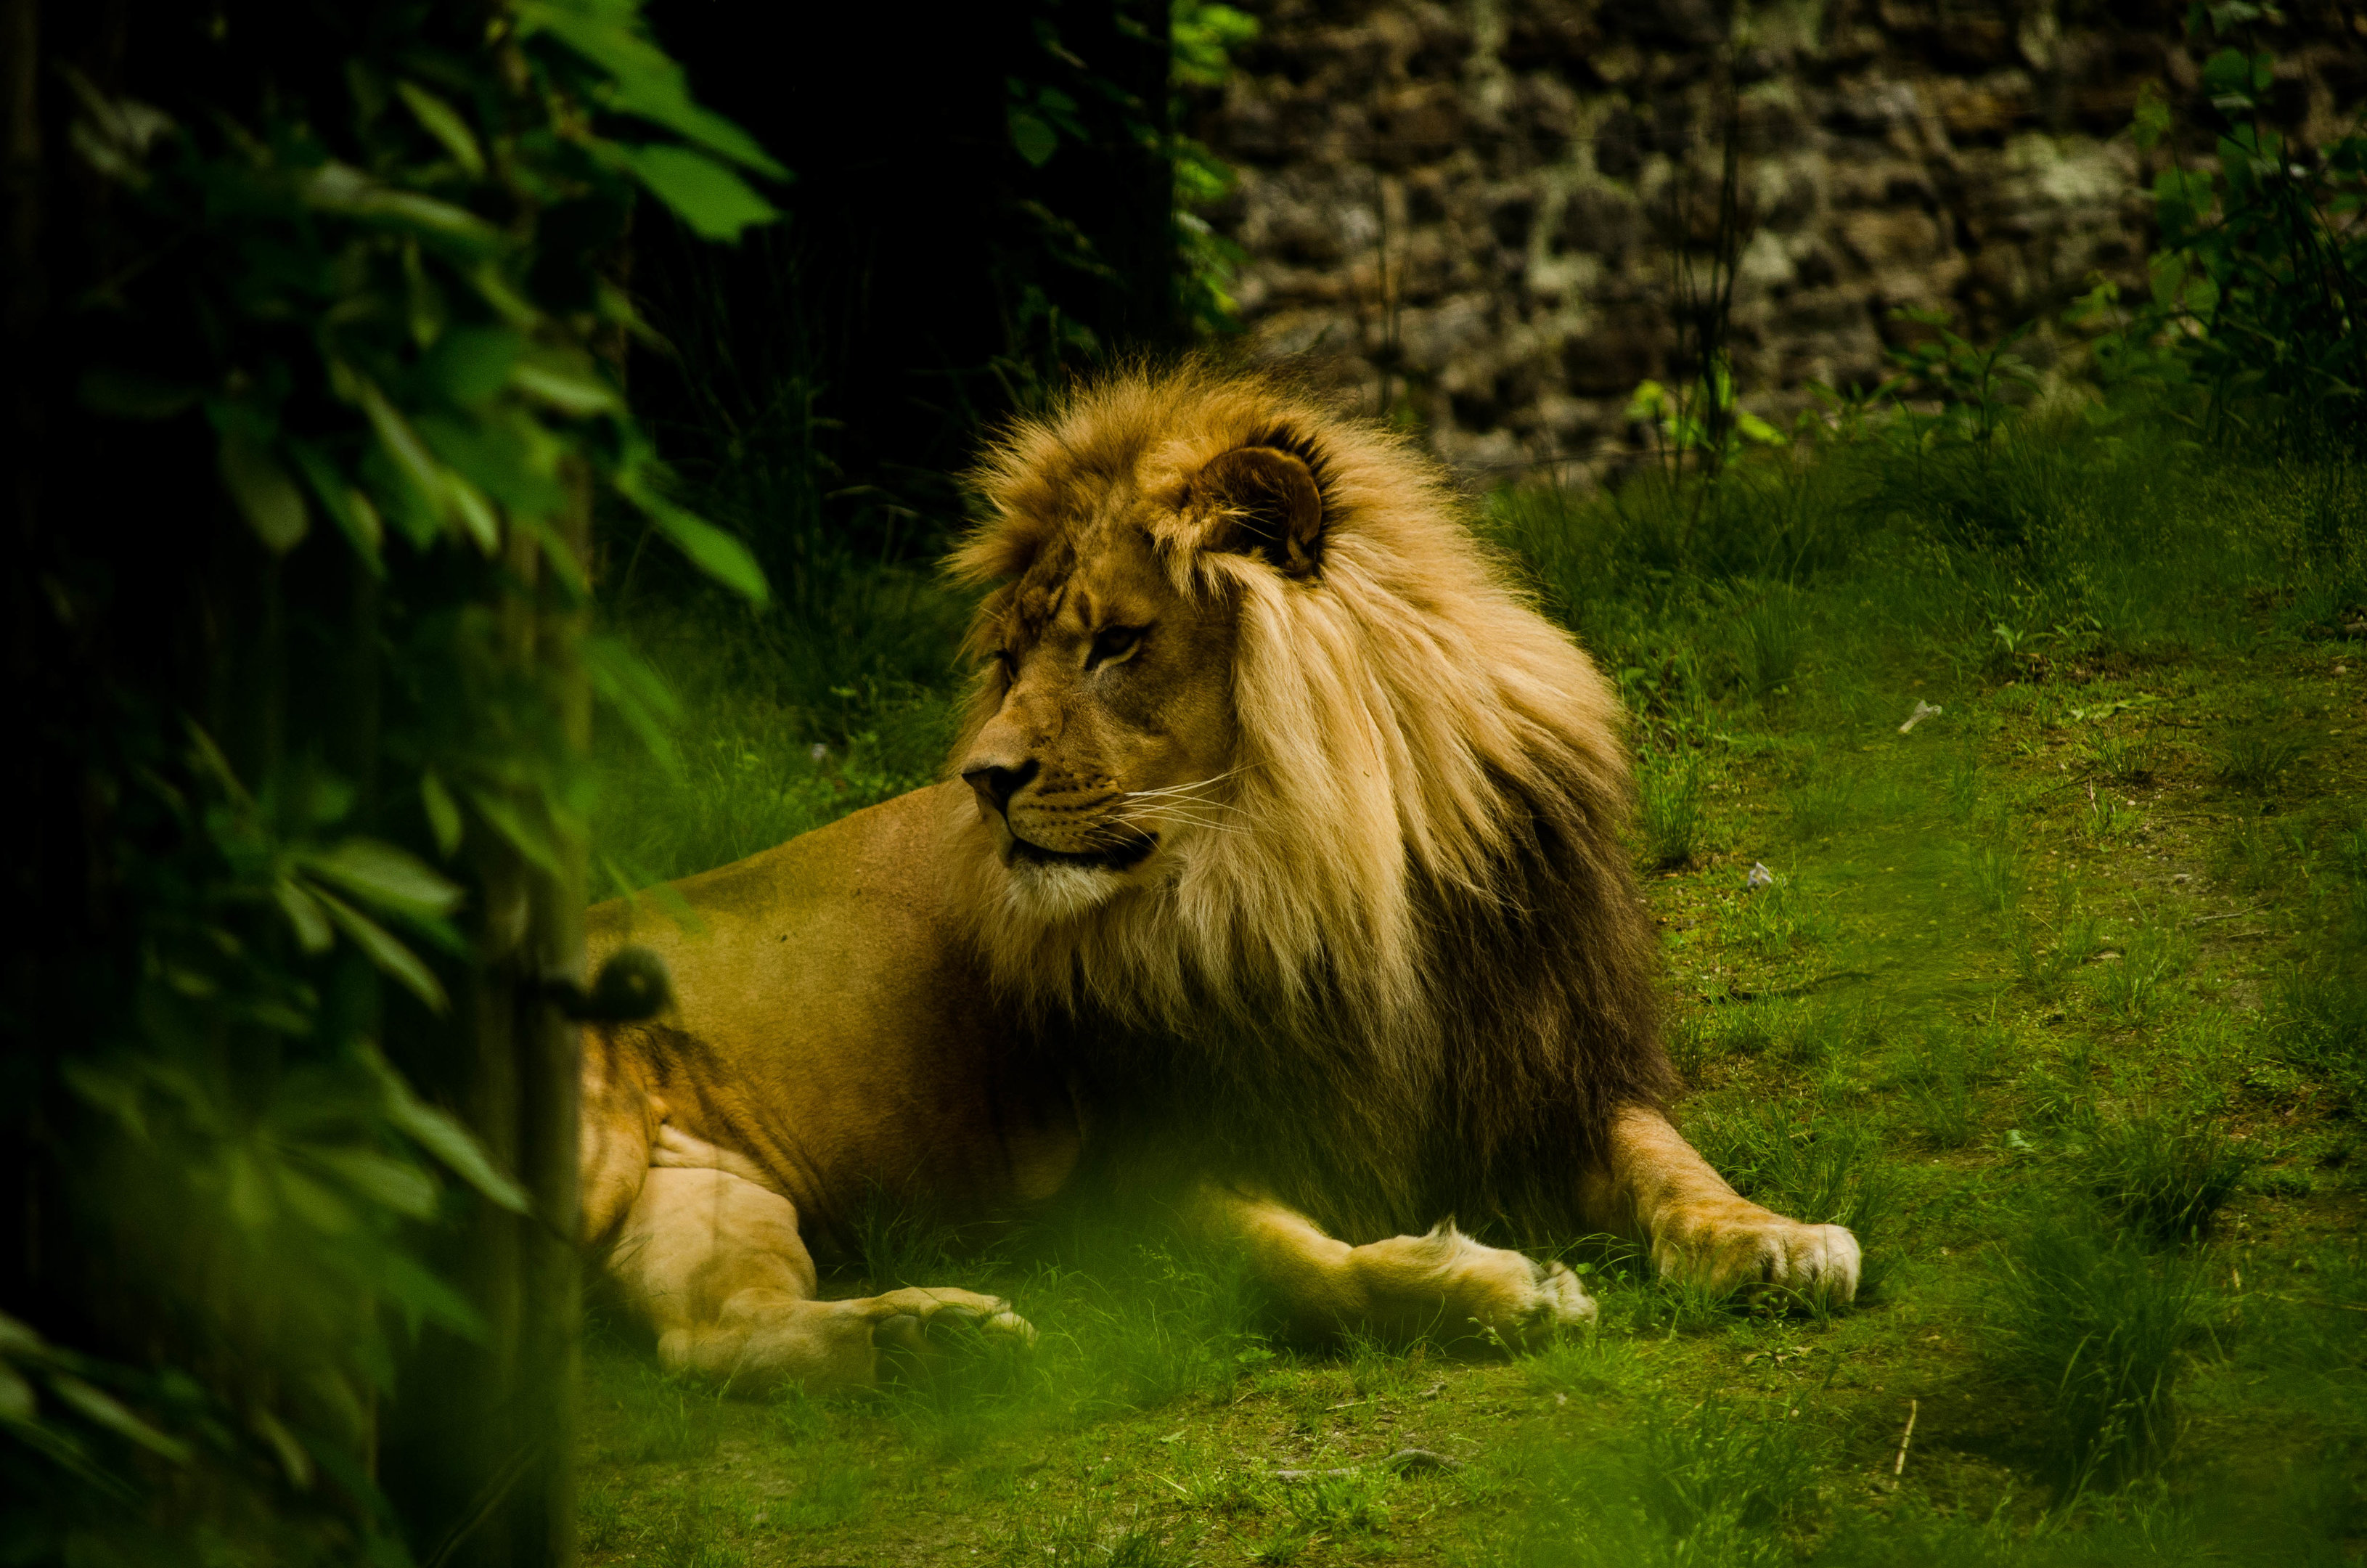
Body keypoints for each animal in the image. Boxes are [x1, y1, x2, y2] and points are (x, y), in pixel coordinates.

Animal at [579, 365, 1860, 1388]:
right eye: (1010, 659)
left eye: (1113, 644)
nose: (984, 780)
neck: (1306, 881)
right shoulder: (1134, 1172)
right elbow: (1301, 1271)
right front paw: (1492, 1289)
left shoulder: (1552, 1062)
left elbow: (1669, 1161)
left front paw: (1770, 1237)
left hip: (704, 1191)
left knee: (705, 1337)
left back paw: (928, 1341)